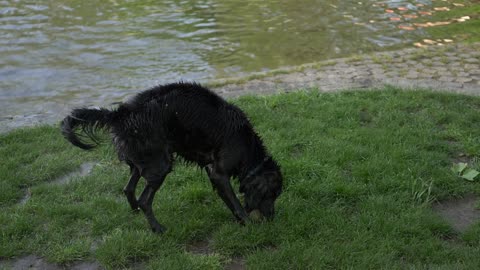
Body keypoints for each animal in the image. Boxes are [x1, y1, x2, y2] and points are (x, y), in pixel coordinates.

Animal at [61, 81, 284, 232]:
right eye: (271, 194)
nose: (273, 217)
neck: (246, 144)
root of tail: (120, 114)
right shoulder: (219, 173)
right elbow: (236, 203)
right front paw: (247, 223)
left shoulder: (211, 170)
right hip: (161, 164)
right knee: (144, 200)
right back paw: (157, 229)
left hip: (142, 162)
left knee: (129, 189)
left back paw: (135, 213)